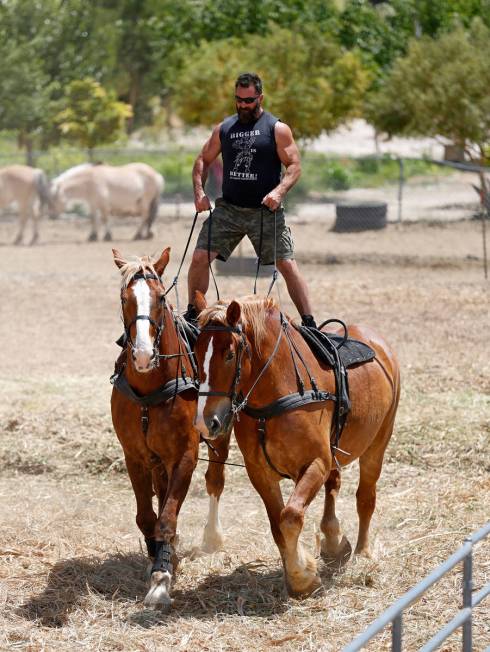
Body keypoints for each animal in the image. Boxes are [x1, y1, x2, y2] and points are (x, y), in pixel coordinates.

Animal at [110, 247, 229, 608]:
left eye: (161, 298)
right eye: (124, 298)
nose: (143, 355)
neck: (149, 388)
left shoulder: (184, 456)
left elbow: (167, 517)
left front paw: (162, 576)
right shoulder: (134, 456)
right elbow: (148, 516)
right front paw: (158, 556)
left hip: (219, 435)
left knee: (215, 480)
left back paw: (212, 537)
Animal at [193, 292, 400, 600]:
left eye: (229, 354)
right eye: (195, 355)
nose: (207, 422)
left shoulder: (316, 463)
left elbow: (290, 517)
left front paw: (303, 577)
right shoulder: (260, 473)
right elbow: (277, 524)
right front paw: (298, 573)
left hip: (378, 444)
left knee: (365, 497)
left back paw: (362, 552)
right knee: (334, 486)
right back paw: (333, 541)